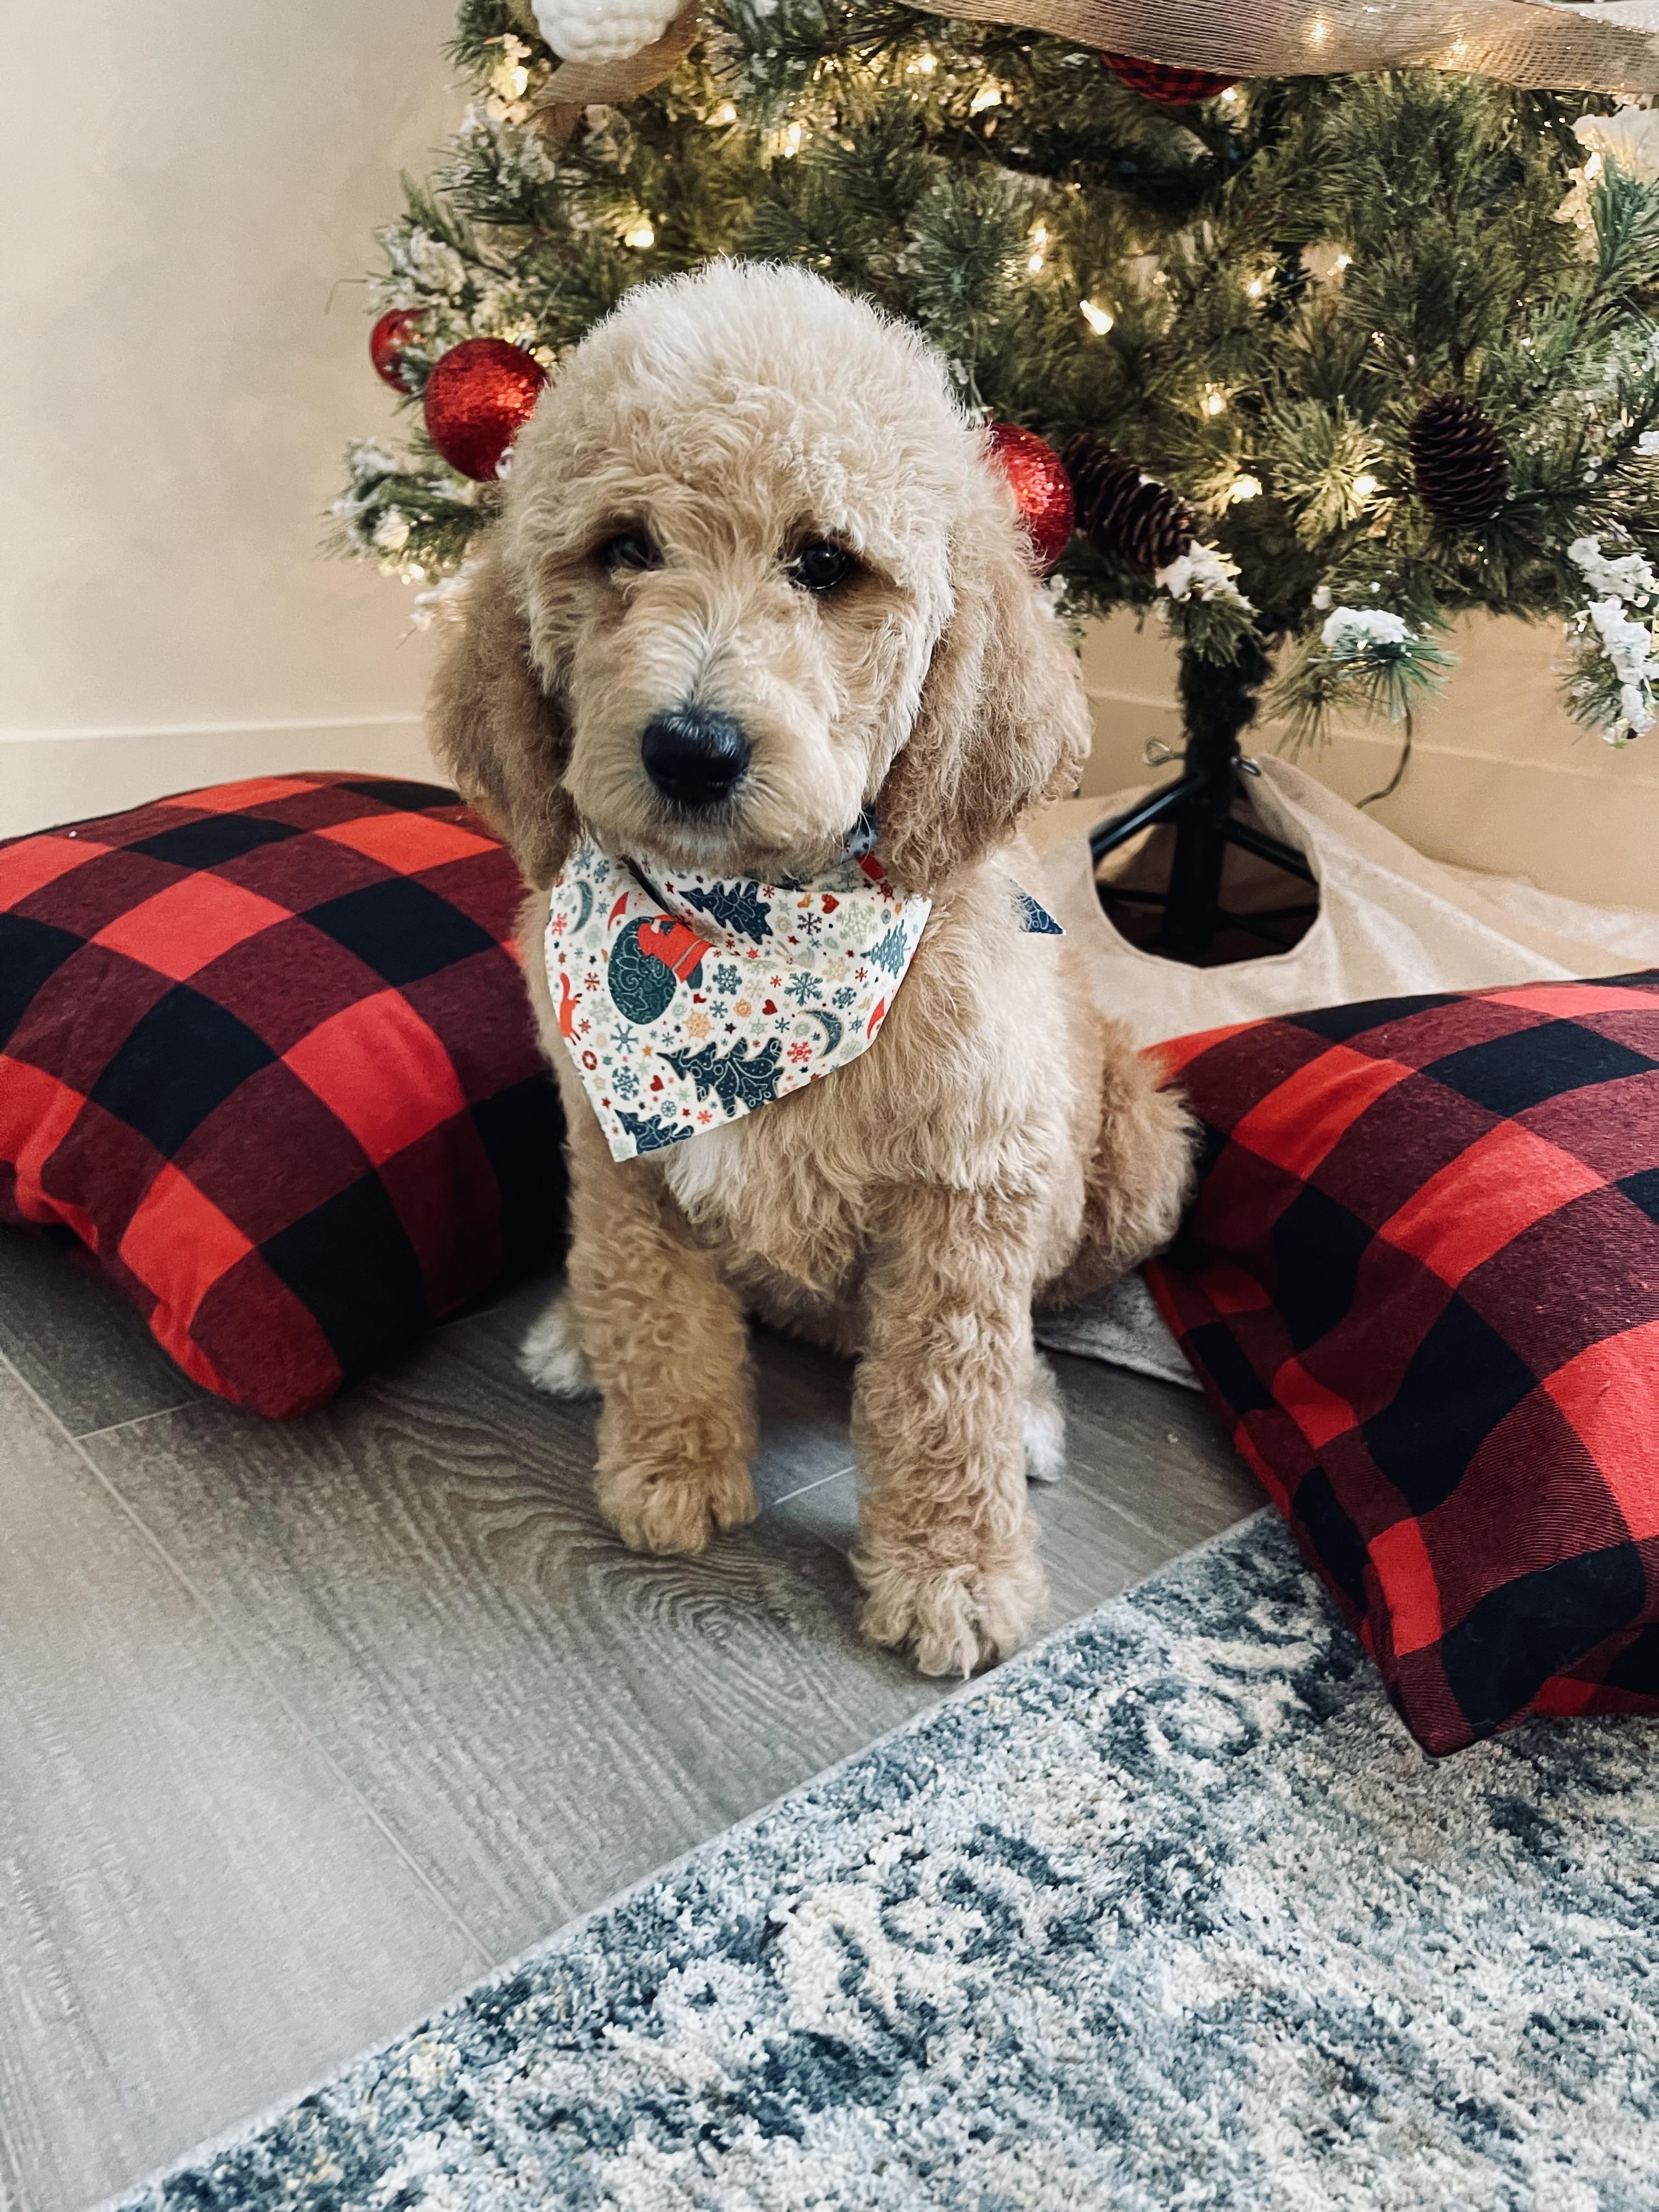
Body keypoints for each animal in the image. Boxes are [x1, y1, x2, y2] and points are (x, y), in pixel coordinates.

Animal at [431, 261, 1193, 1676]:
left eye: (828, 563)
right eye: (624, 548)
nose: (691, 749)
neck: (743, 931)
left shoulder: (966, 1190)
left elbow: (950, 1387)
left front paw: (952, 1574)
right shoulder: (615, 1152)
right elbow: (657, 1311)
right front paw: (669, 1472)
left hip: (1143, 1152)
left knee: (1041, 1313)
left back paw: (1035, 1408)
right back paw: (578, 1338)